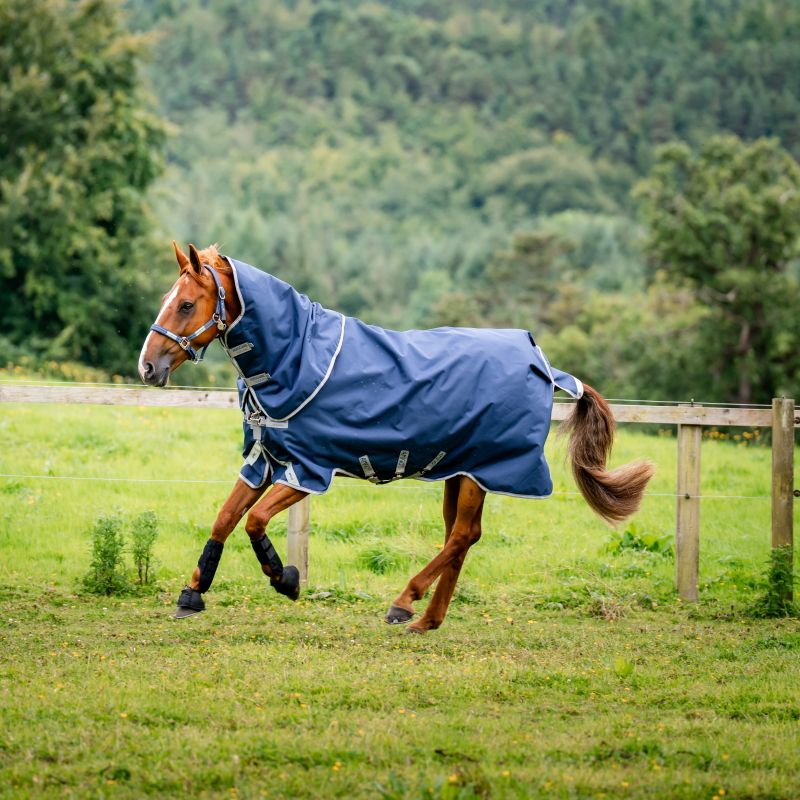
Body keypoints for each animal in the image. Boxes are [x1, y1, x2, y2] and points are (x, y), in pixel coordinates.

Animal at [139, 242, 654, 632]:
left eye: (186, 304)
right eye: (167, 297)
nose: (148, 367)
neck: (296, 359)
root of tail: (542, 363)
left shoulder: (307, 470)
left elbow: (255, 522)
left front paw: (285, 578)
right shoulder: (265, 460)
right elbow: (225, 519)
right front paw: (192, 593)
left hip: (481, 471)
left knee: (461, 536)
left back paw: (405, 601)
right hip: (462, 470)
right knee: (463, 537)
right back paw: (427, 621)